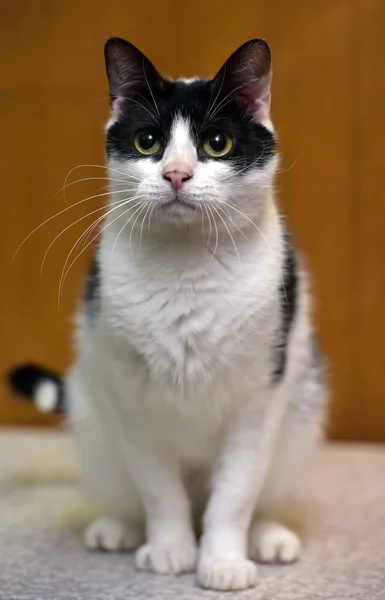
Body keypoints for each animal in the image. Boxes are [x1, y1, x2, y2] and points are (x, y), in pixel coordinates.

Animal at [9, 37, 324, 592]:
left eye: (217, 143)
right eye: (148, 141)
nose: (176, 173)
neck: (186, 269)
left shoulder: (257, 404)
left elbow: (234, 495)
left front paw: (222, 562)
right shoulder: (133, 403)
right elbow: (159, 490)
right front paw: (171, 549)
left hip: (298, 418)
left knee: (257, 495)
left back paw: (268, 537)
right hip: (97, 423)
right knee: (133, 494)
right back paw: (119, 529)